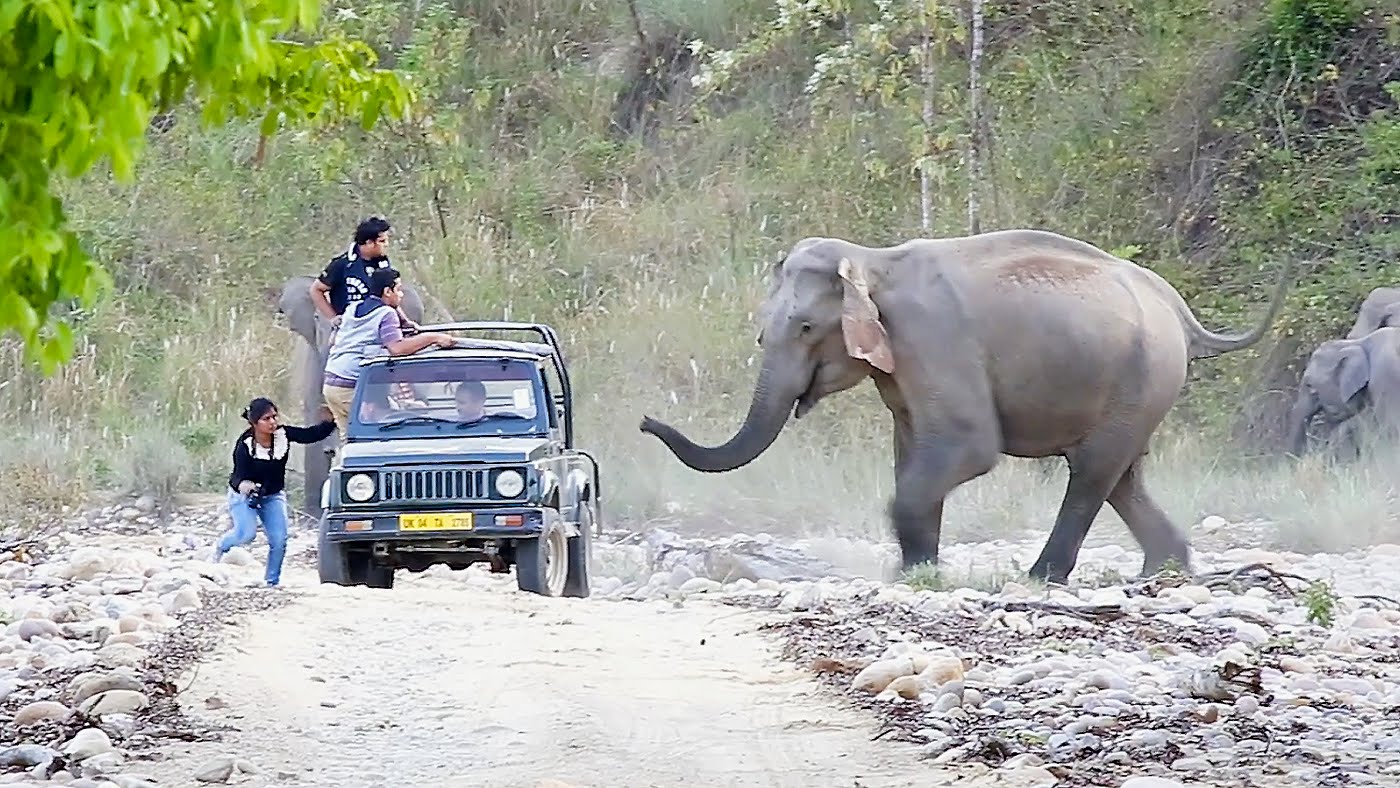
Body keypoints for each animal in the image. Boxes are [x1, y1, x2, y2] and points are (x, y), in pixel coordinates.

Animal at [638, 229, 1294, 585]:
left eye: (804, 327)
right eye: (760, 334)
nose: (645, 420)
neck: (873, 259)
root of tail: (1181, 312)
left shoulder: (934, 340)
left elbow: (969, 448)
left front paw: (919, 572)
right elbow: (911, 451)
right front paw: (915, 573)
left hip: (1144, 377)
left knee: (1091, 473)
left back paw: (1039, 579)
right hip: (1138, 386)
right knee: (1122, 476)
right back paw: (1165, 570)